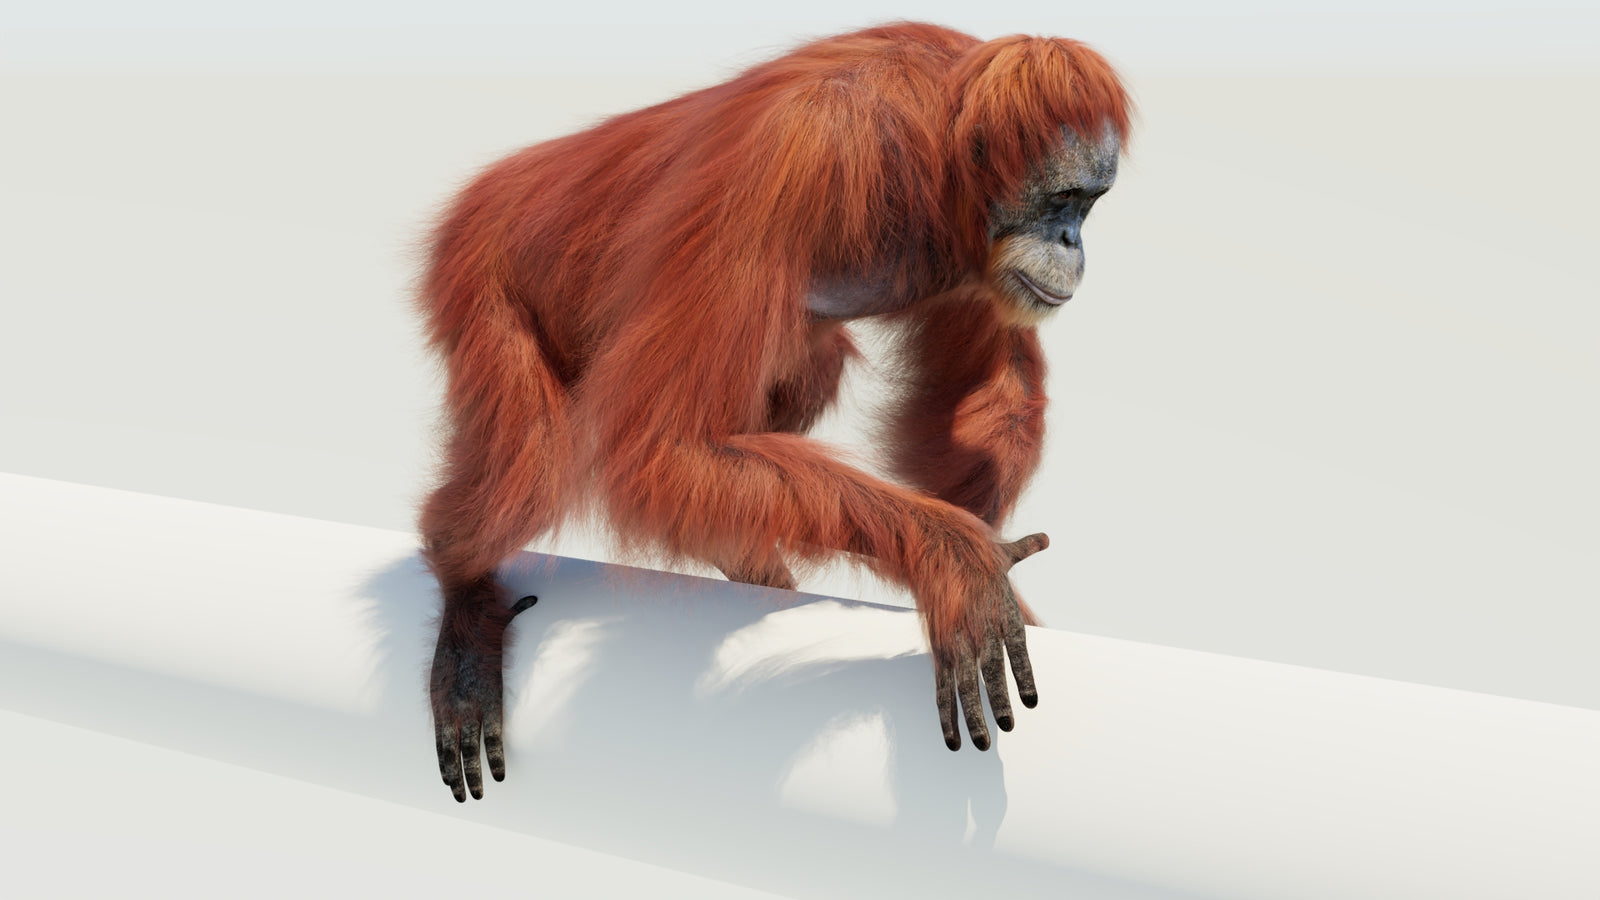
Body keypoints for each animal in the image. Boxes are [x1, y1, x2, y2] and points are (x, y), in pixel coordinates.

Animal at [417, 22, 1130, 802]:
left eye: (1091, 204)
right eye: (1062, 199)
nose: (1072, 242)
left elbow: (986, 390)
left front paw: (982, 543)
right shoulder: (795, 158)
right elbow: (666, 447)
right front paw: (958, 560)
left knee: (810, 368)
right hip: (481, 273)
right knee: (534, 467)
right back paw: (465, 598)